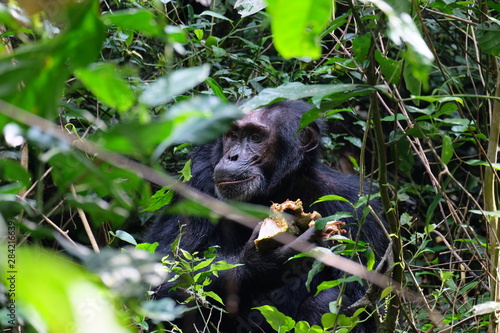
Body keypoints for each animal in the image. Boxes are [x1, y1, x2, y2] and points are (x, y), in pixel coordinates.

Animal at [146, 100, 388, 330]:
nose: (232, 156)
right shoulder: (197, 181)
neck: (274, 191)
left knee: (327, 299)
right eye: (233, 135)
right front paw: (263, 262)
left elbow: (368, 302)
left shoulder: (358, 209)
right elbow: (164, 274)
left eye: (256, 137)